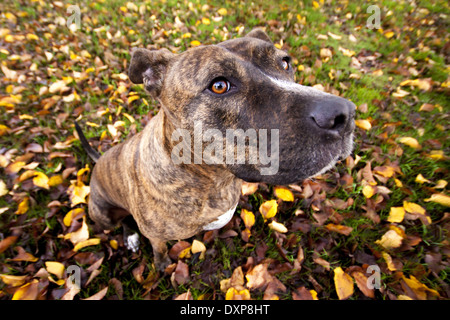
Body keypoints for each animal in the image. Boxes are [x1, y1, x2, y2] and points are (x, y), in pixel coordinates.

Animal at [74, 28, 356, 272]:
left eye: (285, 63)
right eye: (219, 85)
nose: (344, 114)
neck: (215, 179)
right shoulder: (156, 235)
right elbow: (159, 249)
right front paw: (162, 264)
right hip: (102, 214)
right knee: (122, 221)